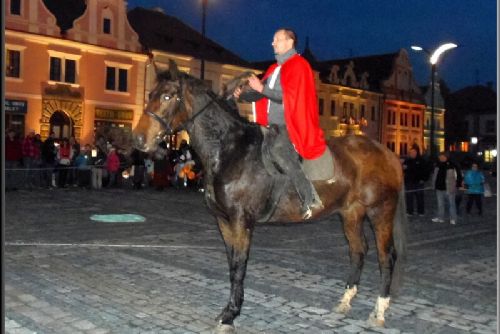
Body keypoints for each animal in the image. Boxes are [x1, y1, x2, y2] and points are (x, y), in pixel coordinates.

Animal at [133, 61, 406, 332]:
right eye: (151, 95)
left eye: (167, 96)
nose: (138, 139)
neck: (229, 150)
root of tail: (387, 153)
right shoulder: (223, 221)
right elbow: (232, 264)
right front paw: (229, 310)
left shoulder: (241, 220)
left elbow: (239, 265)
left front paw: (230, 315)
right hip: (350, 213)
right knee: (358, 251)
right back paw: (345, 301)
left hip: (380, 211)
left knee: (387, 256)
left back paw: (379, 311)